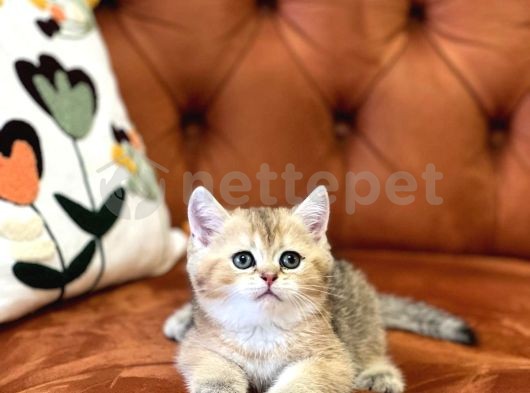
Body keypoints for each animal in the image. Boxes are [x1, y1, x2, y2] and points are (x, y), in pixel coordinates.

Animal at [169, 187, 474, 392]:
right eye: (242, 260)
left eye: (290, 260)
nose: (269, 276)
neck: (263, 329)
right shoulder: (200, 346)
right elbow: (216, 371)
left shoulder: (331, 358)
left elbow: (302, 382)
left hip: (360, 318)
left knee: (371, 347)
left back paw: (381, 374)